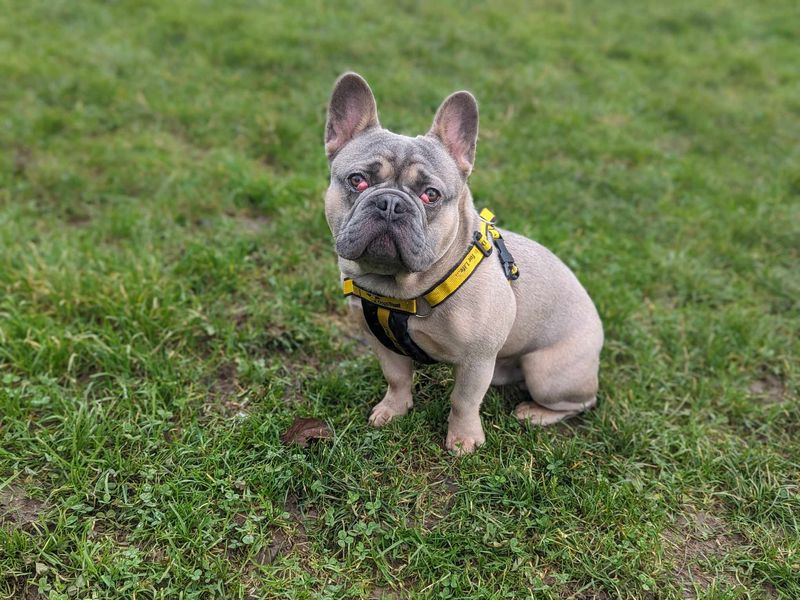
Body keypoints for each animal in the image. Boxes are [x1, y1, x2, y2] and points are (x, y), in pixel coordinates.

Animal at [322, 71, 604, 454]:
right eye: (358, 180)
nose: (391, 204)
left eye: (431, 195)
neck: (399, 289)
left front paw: (464, 439)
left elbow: (464, 400)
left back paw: (535, 414)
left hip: (547, 372)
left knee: (581, 401)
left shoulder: (476, 359)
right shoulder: (382, 344)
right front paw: (393, 410)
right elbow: (396, 378)